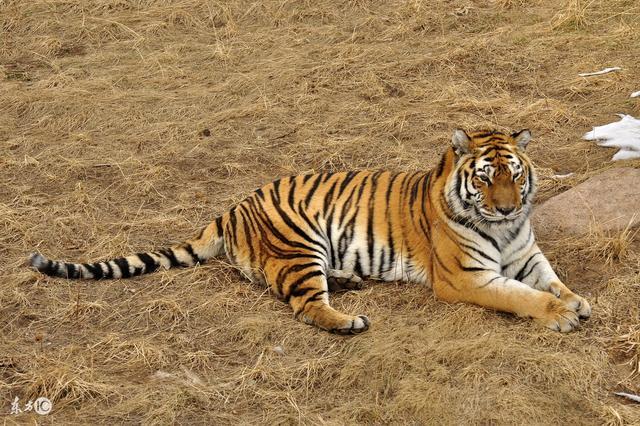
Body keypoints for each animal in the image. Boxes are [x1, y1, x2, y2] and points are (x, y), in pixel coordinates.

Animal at [30, 128, 592, 334]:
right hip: (300, 246)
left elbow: (552, 280)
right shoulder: (467, 278)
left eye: (514, 174)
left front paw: (577, 300)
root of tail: (233, 208)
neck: (505, 231)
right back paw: (348, 320)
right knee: (303, 305)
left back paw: (350, 283)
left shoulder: (527, 255)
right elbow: (522, 296)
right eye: (484, 178)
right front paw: (561, 315)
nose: (506, 208)